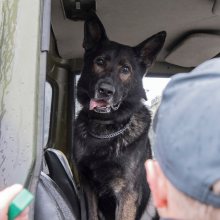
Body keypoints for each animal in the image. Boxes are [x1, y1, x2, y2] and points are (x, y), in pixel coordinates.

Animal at [73, 11, 166, 220]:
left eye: (125, 69)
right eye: (100, 62)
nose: (105, 91)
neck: (105, 129)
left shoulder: (127, 194)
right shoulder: (88, 187)